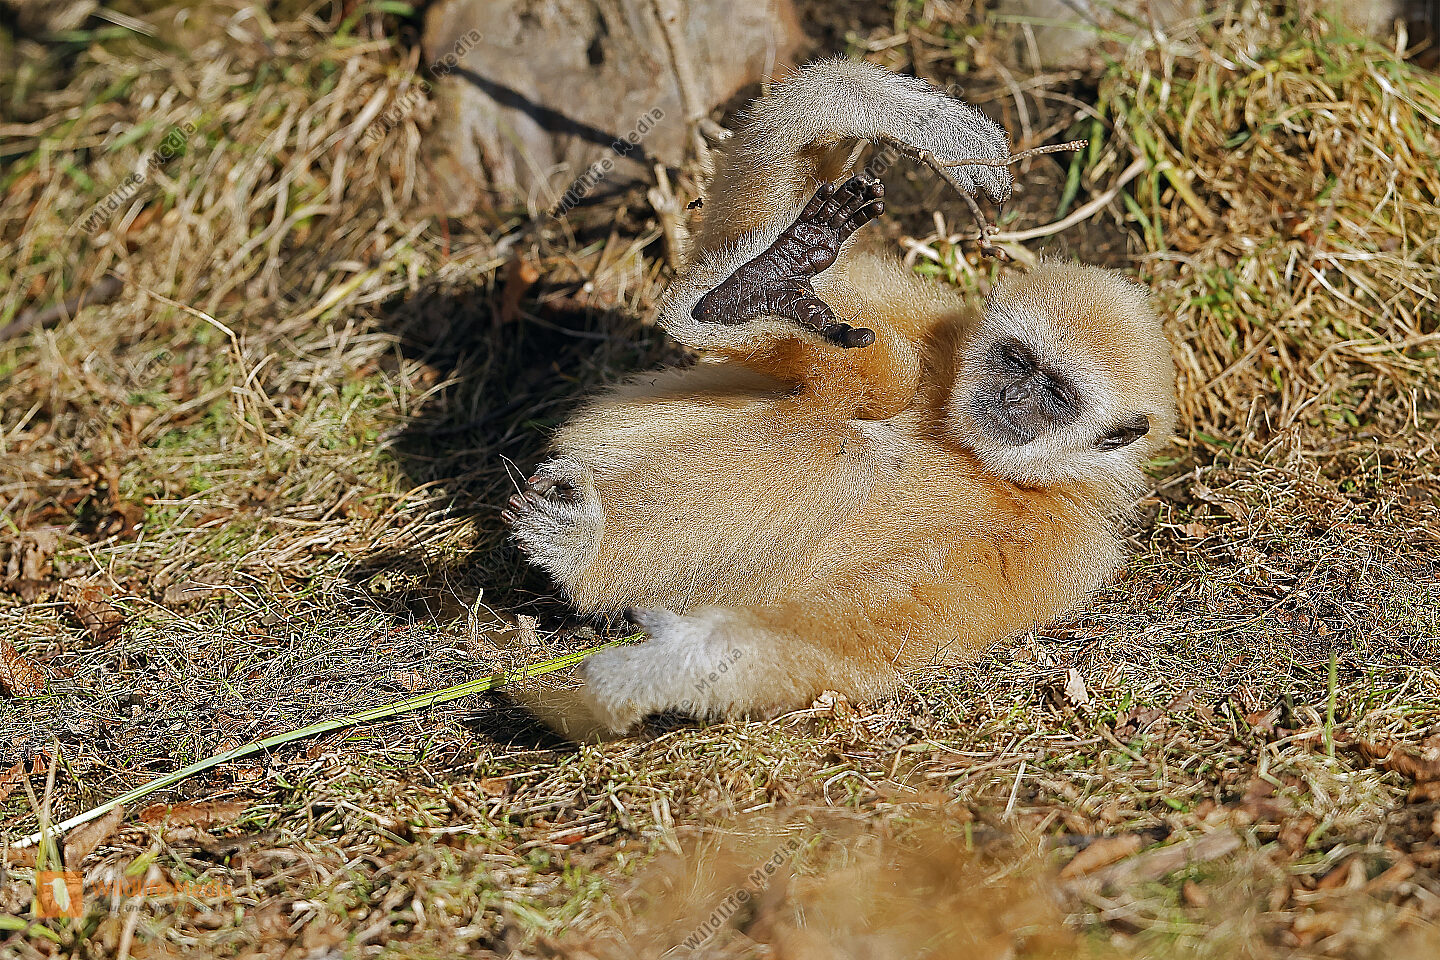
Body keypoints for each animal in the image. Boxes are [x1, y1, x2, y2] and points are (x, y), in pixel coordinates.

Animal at [500, 59, 1176, 739]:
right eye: (1016, 360)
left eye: (1056, 393)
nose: (1012, 395)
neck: (977, 456)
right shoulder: (930, 332)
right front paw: (880, 109)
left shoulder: (1052, 545)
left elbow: (848, 636)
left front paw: (665, 668)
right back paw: (754, 287)